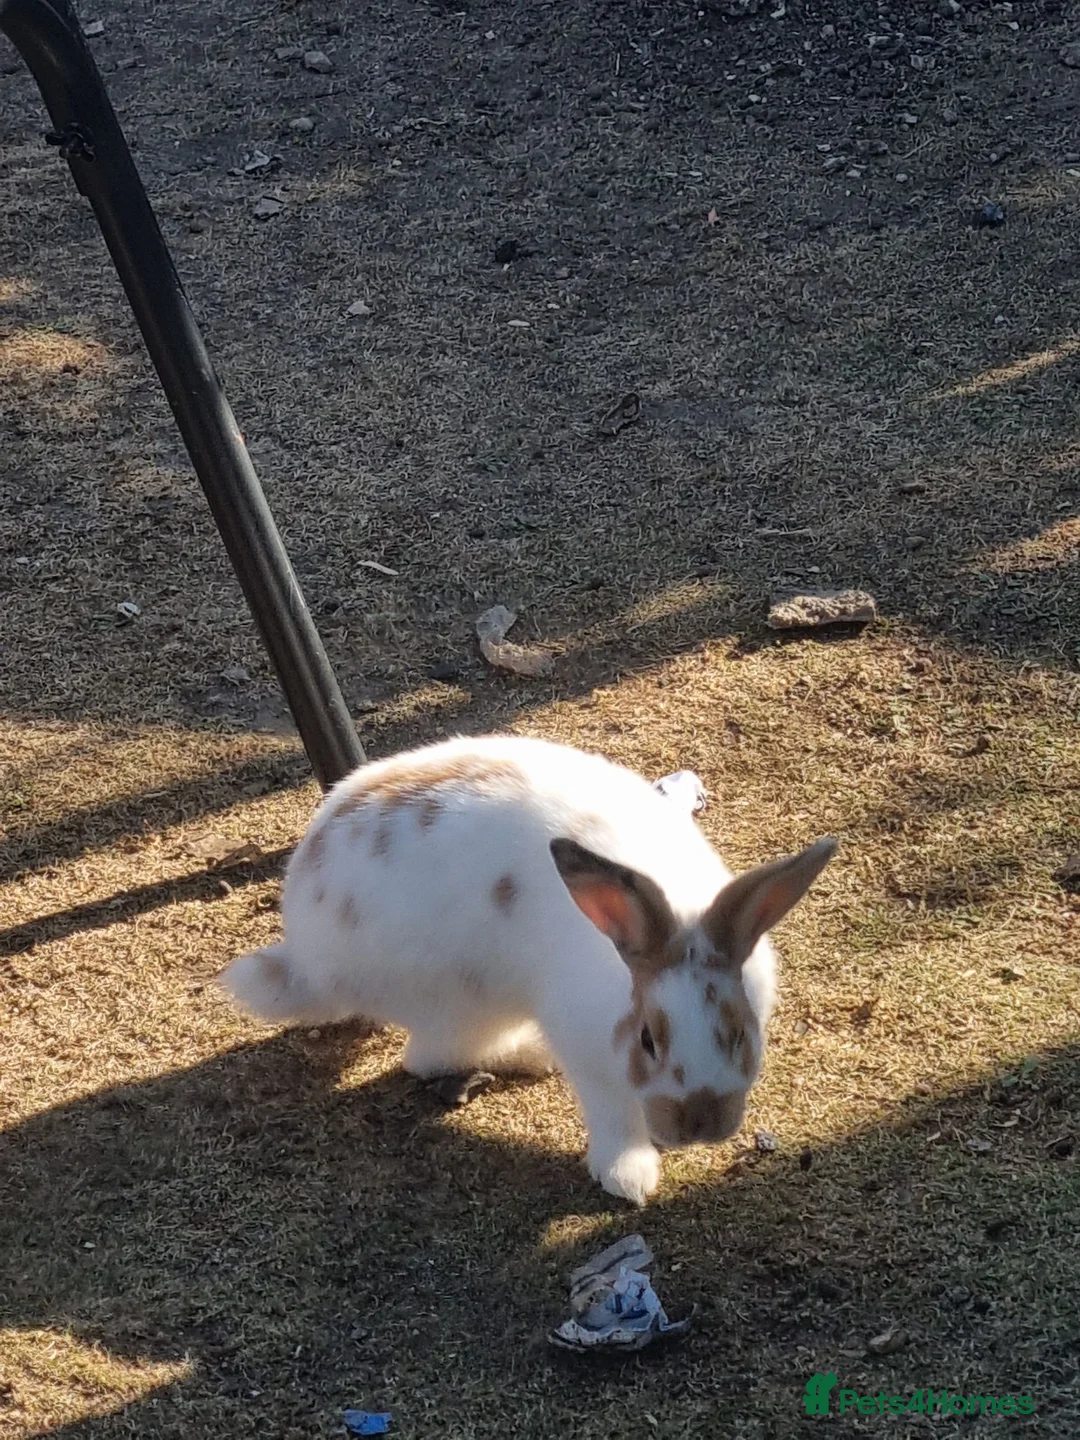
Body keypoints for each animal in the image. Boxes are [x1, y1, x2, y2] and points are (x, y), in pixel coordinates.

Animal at [218, 734, 836, 1206]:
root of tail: (306, 955)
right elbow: (615, 1117)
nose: (701, 1127)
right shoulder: (591, 1057)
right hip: (460, 1001)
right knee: (427, 1057)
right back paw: (530, 1054)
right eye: (647, 1041)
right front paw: (629, 1177)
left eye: (738, 1036)